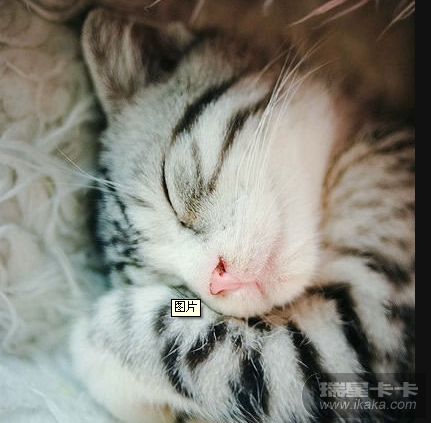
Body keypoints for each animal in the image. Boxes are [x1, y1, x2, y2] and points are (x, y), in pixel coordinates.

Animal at [70, 8, 415, 423]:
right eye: (182, 289)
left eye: (171, 193)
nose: (218, 280)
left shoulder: (357, 337)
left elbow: (210, 354)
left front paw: (91, 346)